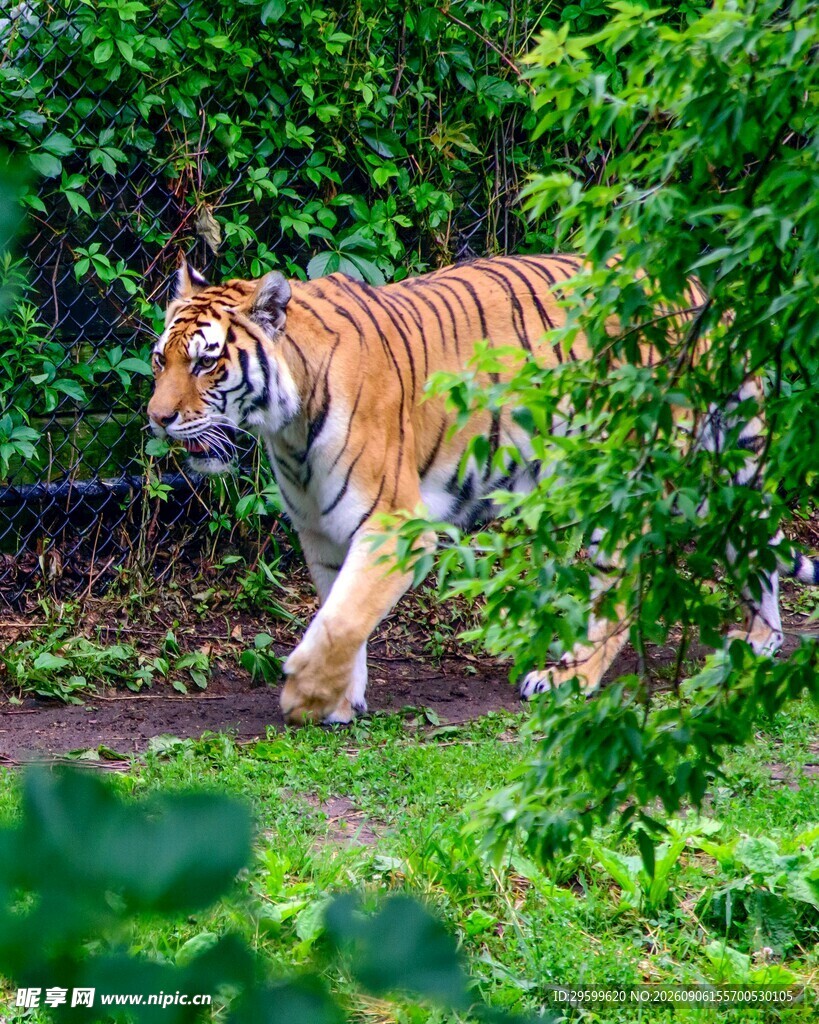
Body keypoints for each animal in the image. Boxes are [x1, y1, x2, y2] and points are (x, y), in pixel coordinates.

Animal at [147, 255, 818, 724]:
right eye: (160, 360)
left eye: (206, 362)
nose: (156, 418)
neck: (285, 425)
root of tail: (700, 292)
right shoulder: (322, 533)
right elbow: (341, 614)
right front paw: (340, 701)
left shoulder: (393, 526)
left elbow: (342, 619)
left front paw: (304, 696)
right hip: (711, 474)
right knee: (752, 550)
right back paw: (757, 643)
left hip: (626, 481)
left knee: (622, 594)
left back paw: (566, 678)